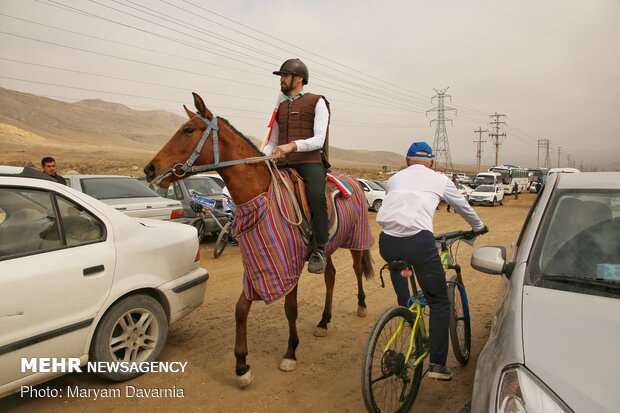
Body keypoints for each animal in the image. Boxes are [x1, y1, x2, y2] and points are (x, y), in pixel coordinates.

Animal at [145, 92, 372, 386]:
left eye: (189, 130)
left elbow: (290, 308)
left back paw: (362, 305)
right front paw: (242, 365)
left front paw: (290, 352)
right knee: (331, 275)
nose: (150, 169)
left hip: (357, 239)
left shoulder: (288, 264)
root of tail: (354, 181)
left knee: (356, 269)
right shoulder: (257, 264)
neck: (261, 197)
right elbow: (241, 308)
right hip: (326, 248)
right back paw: (323, 321)